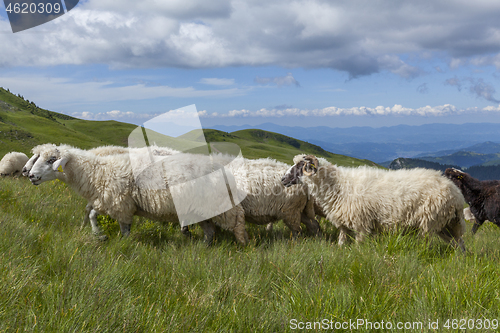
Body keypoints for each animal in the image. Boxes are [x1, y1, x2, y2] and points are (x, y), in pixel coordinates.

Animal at [27, 144, 248, 243]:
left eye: (51, 160)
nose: (30, 175)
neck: (96, 171)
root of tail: (223, 169)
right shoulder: (107, 201)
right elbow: (90, 213)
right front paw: (98, 234)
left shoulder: (120, 204)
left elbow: (123, 228)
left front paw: (121, 243)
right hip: (201, 208)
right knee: (209, 230)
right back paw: (203, 246)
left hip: (221, 205)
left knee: (237, 220)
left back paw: (242, 244)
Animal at [284, 154, 466, 250]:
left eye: (300, 166)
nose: (283, 179)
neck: (339, 185)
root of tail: (456, 194)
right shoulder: (344, 224)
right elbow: (342, 242)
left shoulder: (361, 222)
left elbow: (359, 244)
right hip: (447, 223)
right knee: (459, 244)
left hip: (430, 221)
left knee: (427, 243)